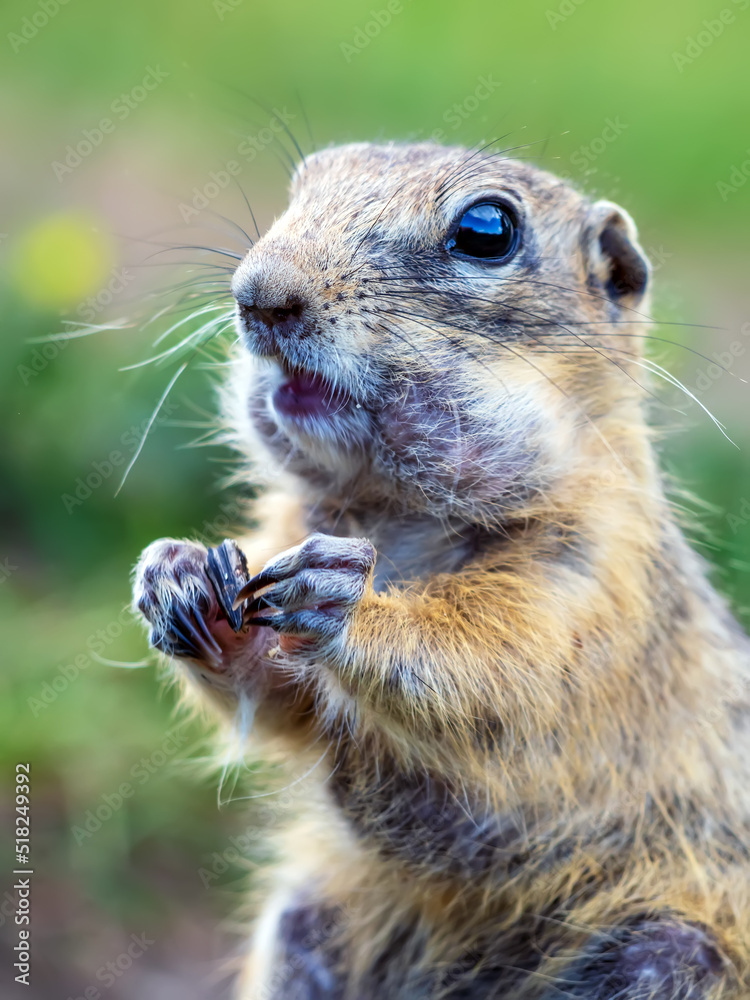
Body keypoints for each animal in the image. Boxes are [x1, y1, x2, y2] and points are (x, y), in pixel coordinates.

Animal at [132, 143, 750, 1000]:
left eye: (487, 228)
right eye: (305, 181)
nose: (258, 293)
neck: (398, 518)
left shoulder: (590, 572)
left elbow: (497, 660)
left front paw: (341, 599)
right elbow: (284, 703)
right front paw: (178, 576)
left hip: (675, 951)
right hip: (307, 925)